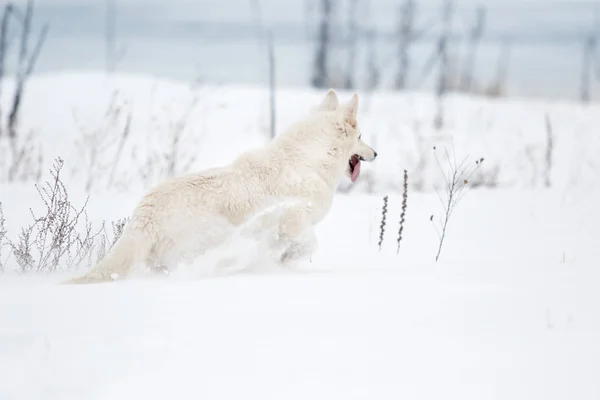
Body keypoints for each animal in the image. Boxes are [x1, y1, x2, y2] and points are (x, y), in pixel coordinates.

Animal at [64, 90, 376, 284]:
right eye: (361, 136)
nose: (376, 153)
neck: (307, 160)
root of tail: (145, 213)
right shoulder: (294, 220)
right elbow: (309, 244)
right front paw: (285, 261)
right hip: (207, 239)